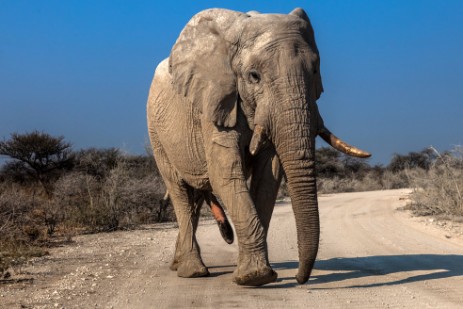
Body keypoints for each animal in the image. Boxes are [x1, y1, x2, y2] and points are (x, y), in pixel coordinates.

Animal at [147, 7, 372, 286]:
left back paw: (179, 265)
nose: (299, 278)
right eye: (254, 76)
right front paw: (256, 277)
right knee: (179, 190)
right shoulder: (214, 101)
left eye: (315, 71)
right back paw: (193, 272)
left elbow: (268, 176)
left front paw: (257, 275)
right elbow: (225, 175)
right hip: (156, 132)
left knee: (194, 198)